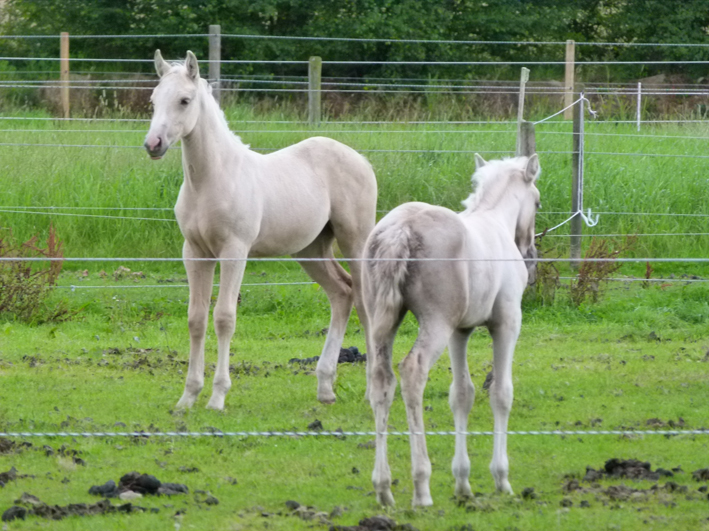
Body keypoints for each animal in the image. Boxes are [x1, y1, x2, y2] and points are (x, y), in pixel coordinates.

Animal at [143, 52, 376, 412]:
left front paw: (218, 396)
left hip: (356, 240)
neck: (210, 181)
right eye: (153, 101)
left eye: (184, 100)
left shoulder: (234, 251)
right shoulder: (194, 252)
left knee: (365, 304)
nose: (153, 144)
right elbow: (196, 319)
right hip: (310, 250)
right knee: (342, 293)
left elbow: (224, 317)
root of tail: (361, 160)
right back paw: (325, 387)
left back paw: (371, 391)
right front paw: (188, 396)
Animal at [362, 154, 540, 508]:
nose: (531, 255)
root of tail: (399, 230)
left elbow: (461, 395)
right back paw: (421, 488)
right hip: (436, 323)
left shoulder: (461, 331)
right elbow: (501, 393)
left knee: (381, 381)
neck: (495, 221)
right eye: (538, 203)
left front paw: (463, 483)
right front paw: (501, 479)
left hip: (383, 321)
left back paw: (384, 487)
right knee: (412, 370)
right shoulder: (507, 324)